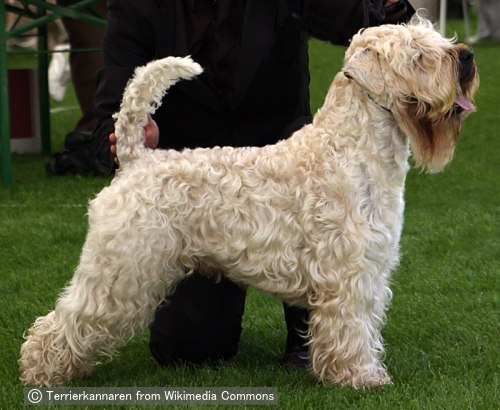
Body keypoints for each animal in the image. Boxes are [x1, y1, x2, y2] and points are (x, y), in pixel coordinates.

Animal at [19, 18, 478, 388]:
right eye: (416, 55)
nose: (468, 57)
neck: (350, 150)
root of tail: (135, 159)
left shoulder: (370, 270)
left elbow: (363, 325)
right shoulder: (350, 273)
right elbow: (352, 328)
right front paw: (361, 377)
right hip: (122, 270)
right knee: (65, 320)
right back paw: (40, 373)